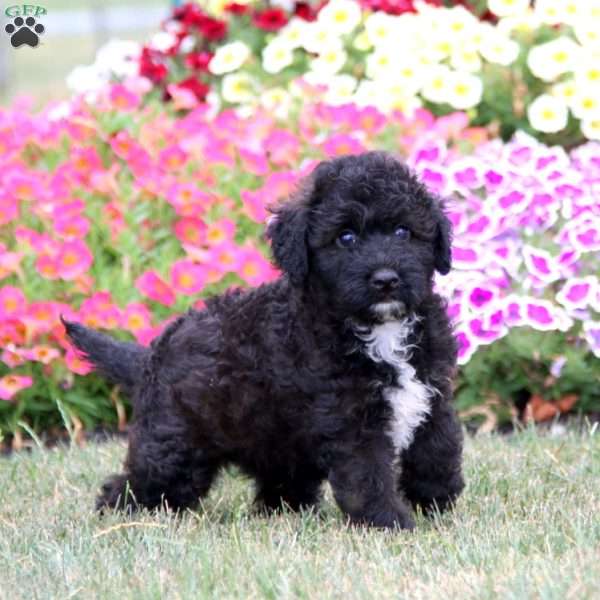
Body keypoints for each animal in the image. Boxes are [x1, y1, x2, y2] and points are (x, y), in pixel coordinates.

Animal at [67, 151, 468, 528]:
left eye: (403, 232)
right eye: (346, 237)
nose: (386, 280)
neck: (379, 329)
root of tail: (152, 353)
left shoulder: (431, 389)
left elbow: (438, 446)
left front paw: (435, 499)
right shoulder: (351, 418)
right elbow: (367, 474)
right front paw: (388, 521)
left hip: (273, 441)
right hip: (173, 446)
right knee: (135, 485)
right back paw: (119, 514)